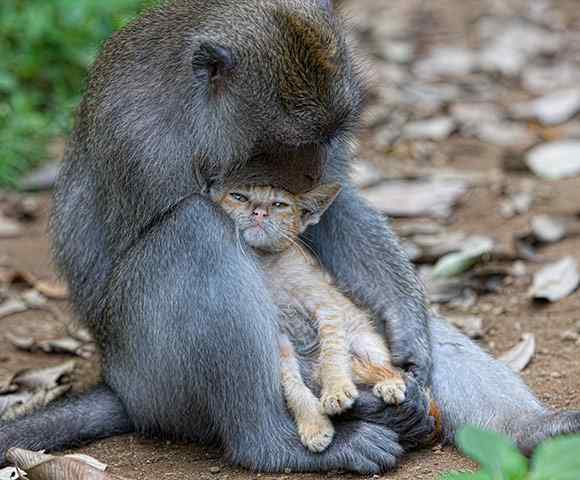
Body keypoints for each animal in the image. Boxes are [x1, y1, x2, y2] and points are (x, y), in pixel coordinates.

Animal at [211, 182, 406, 452]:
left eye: (279, 204)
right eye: (239, 197)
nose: (259, 212)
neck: (267, 264)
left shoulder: (327, 308)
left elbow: (332, 356)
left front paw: (336, 390)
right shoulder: (279, 337)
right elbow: (292, 385)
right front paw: (314, 425)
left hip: (364, 341)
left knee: (388, 368)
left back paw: (389, 384)